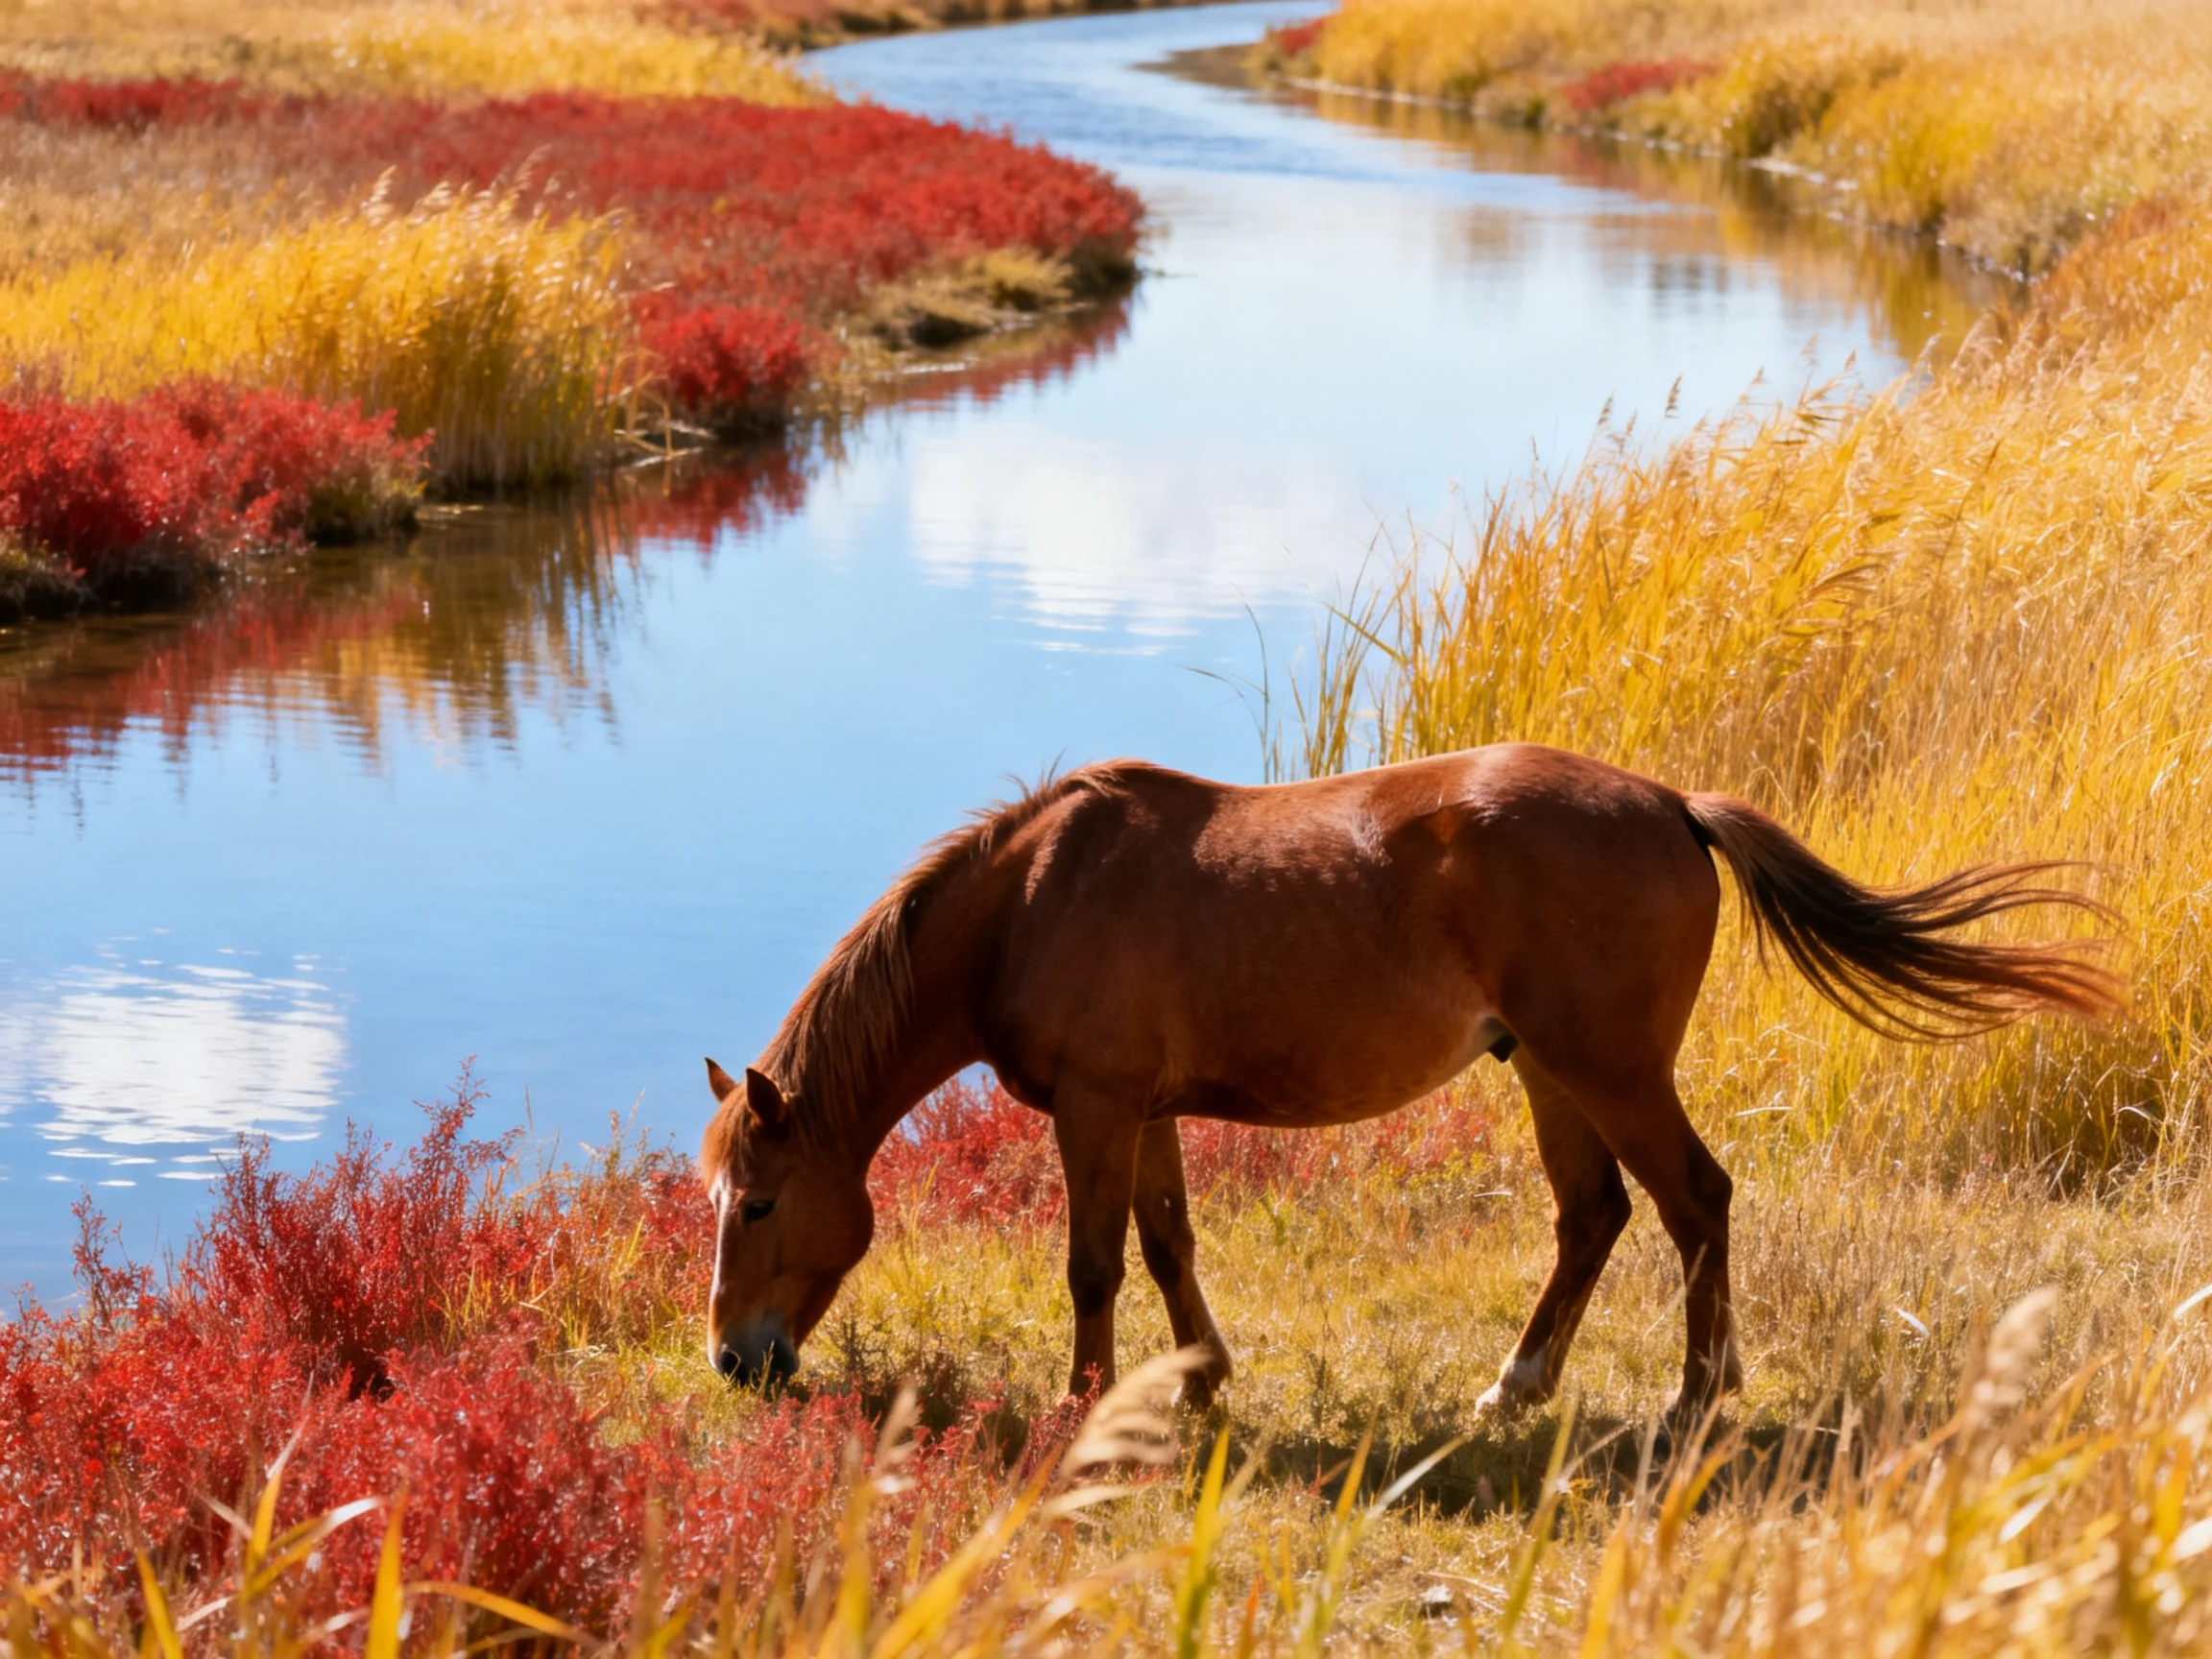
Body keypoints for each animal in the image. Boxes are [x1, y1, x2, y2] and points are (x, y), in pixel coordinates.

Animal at [699, 744, 2117, 1421]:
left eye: (759, 1203)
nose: (730, 1361)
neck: (1033, 898)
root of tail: (1669, 802)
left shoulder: (1099, 1111)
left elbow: (1093, 1264)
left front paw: (1081, 1405)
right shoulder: (1145, 1113)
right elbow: (1167, 1244)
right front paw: (1199, 1375)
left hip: (1610, 1071)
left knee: (1693, 1201)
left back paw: (1695, 1396)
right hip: (1551, 1073)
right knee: (1594, 1217)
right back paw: (1517, 1386)